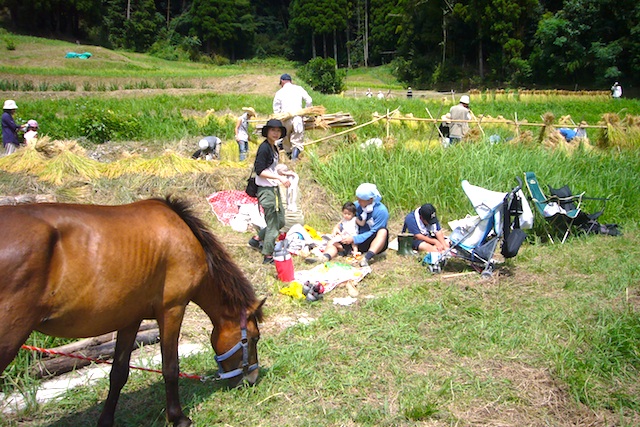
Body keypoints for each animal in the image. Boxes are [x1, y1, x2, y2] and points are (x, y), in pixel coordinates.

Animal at [0, 197, 264, 427]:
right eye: (253, 338)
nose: (251, 379)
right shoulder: (172, 310)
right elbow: (170, 368)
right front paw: (178, 418)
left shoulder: (130, 318)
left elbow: (118, 373)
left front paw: (106, 421)